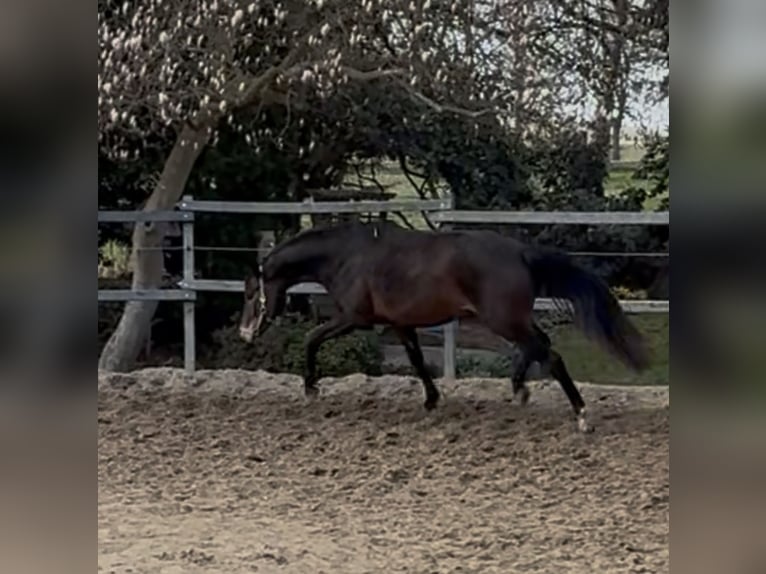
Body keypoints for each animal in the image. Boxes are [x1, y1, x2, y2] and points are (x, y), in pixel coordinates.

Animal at [238, 219, 649, 433]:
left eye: (250, 293)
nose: (244, 332)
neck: (347, 256)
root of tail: (520, 252)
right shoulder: (401, 324)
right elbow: (418, 362)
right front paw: (431, 400)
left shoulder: (354, 319)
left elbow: (311, 338)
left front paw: (311, 388)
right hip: (511, 319)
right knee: (538, 347)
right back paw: (519, 389)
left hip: (503, 319)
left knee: (551, 354)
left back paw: (581, 415)